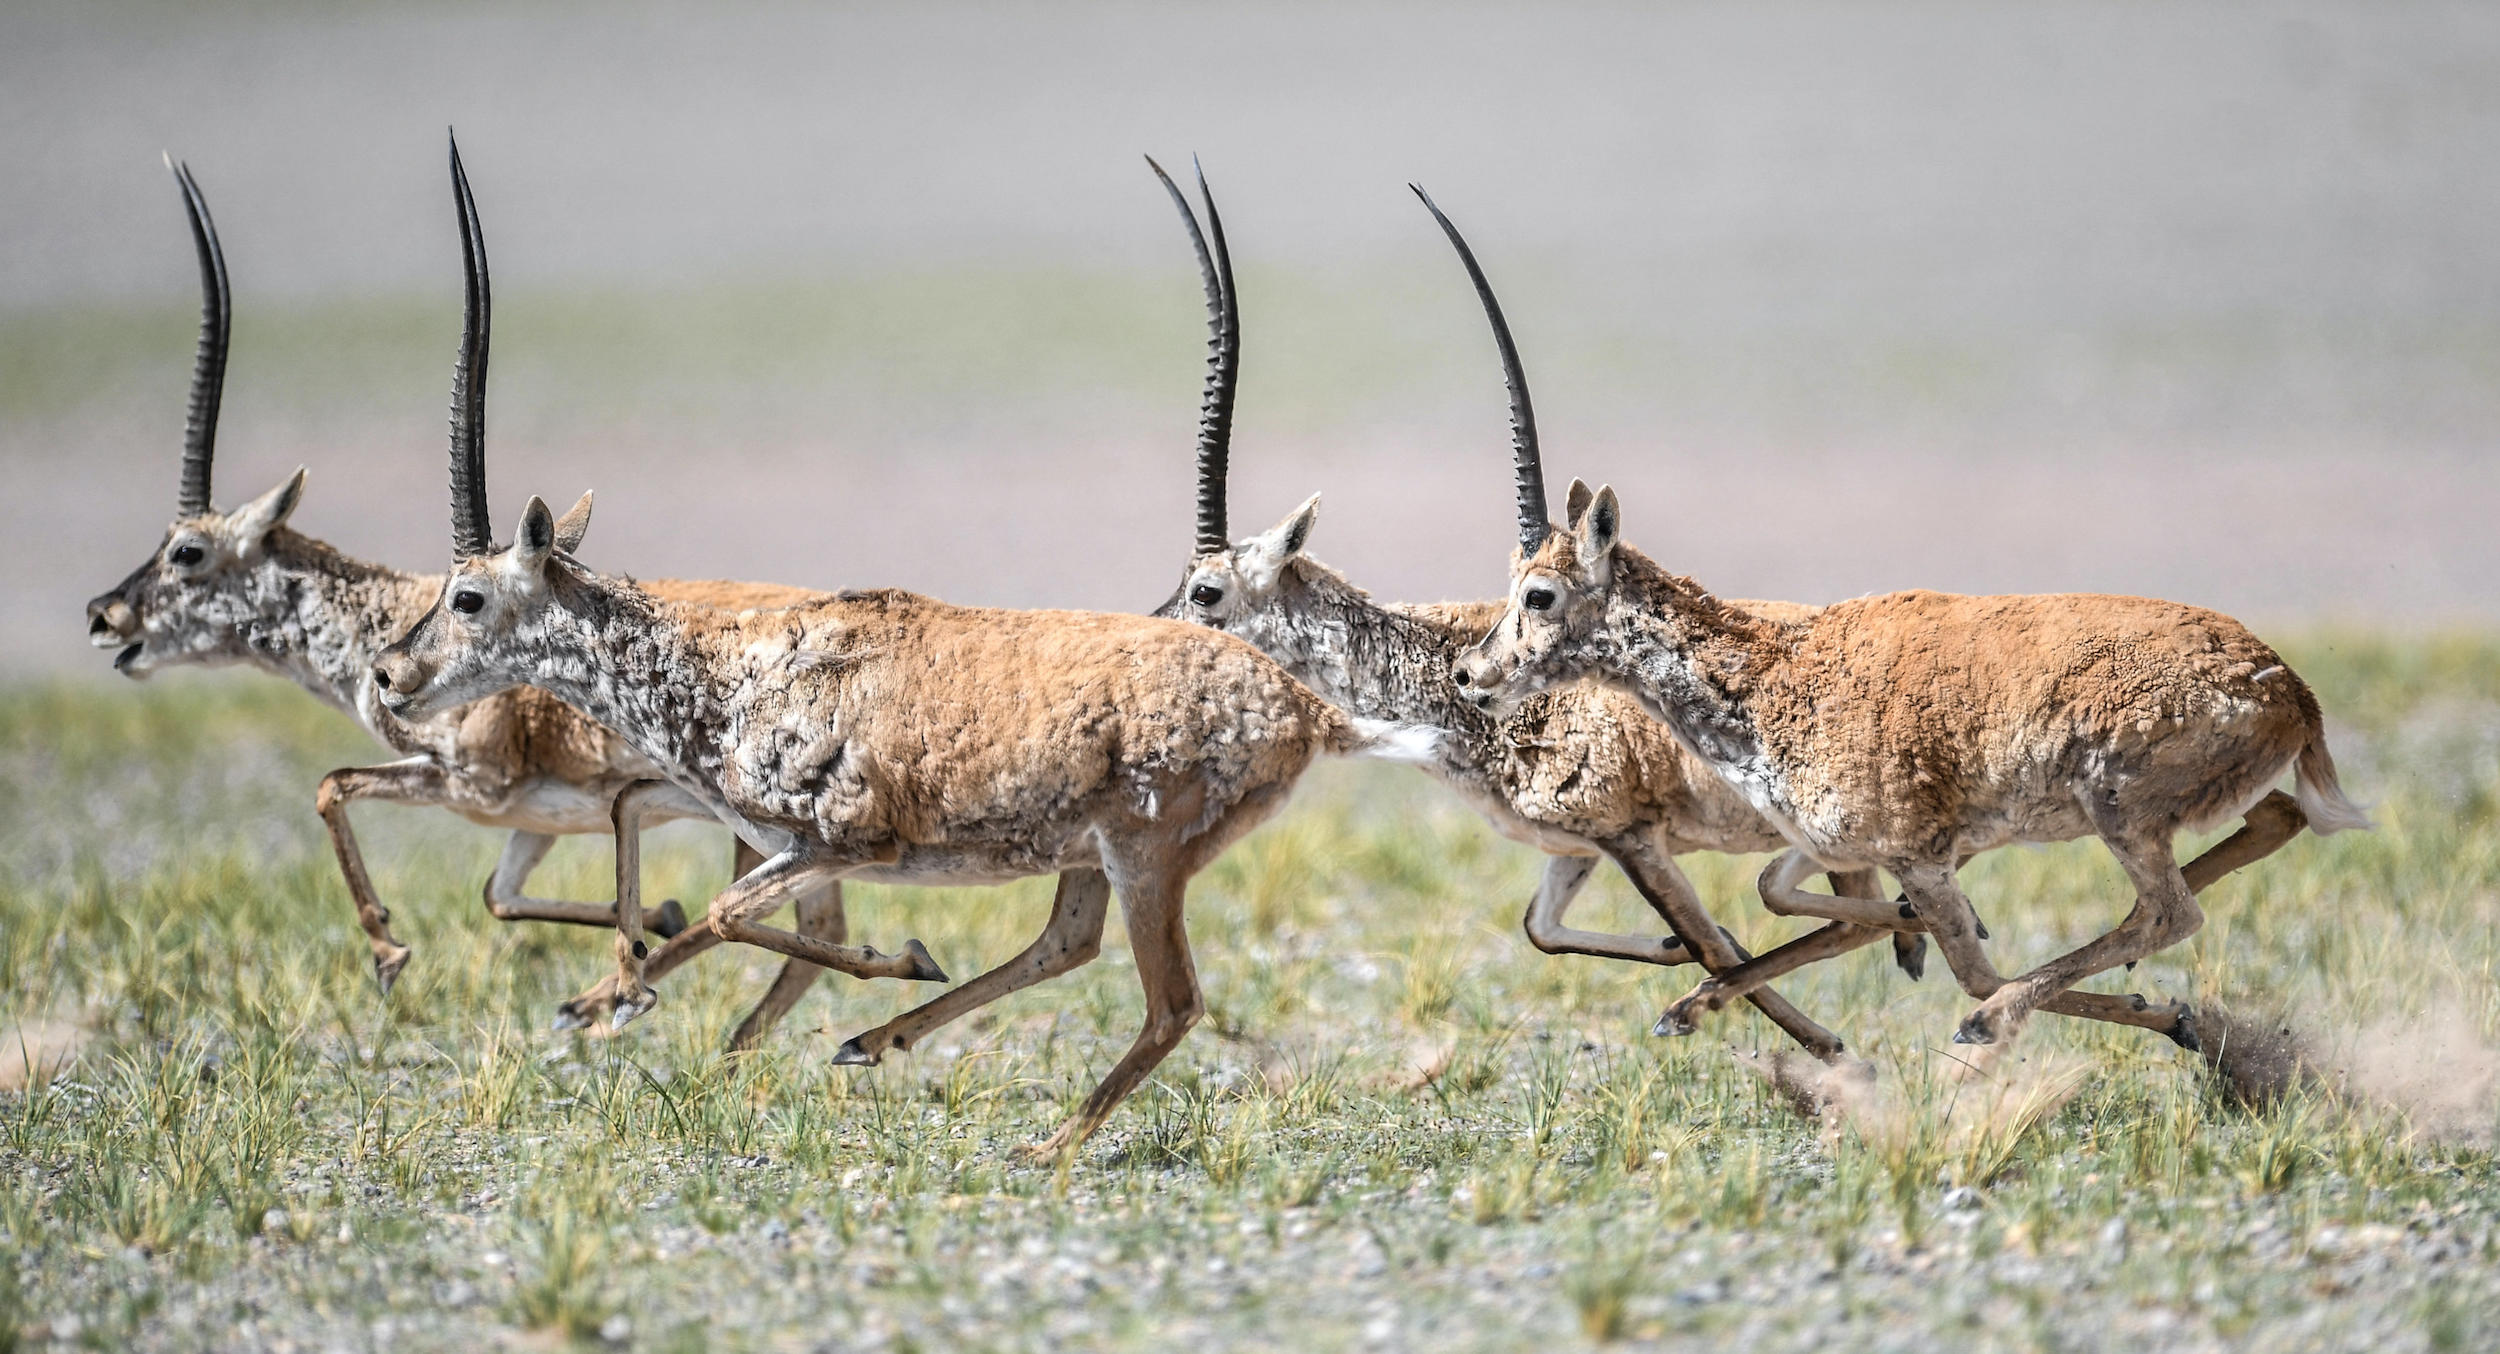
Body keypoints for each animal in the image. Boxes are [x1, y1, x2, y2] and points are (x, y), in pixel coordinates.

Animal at [83, 156, 885, 1049]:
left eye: (187, 551)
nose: (104, 616)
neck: (390, 616)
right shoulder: (531, 821)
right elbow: (496, 894)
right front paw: (654, 921)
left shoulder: (468, 785)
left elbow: (335, 785)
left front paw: (392, 954)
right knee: (812, 931)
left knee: (796, 925)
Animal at [365, 143, 1390, 1159]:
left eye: (468, 595)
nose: (388, 675)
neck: (727, 671)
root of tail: (1303, 709)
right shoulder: (769, 836)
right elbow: (655, 840)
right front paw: (625, 993)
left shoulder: (847, 841)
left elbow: (729, 911)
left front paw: (896, 956)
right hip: (1093, 857)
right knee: (1069, 944)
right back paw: (875, 1044)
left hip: (1144, 856)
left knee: (1171, 1001)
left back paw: (1042, 1141)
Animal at [1145, 164, 1920, 1069]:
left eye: (1206, 591)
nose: (1152, 639)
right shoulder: (1573, 848)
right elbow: (1546, 929)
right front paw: (1680, 962)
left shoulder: (1630, 835)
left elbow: (1710, 944)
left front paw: (1810, 1039)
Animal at [1430, 198, 2360, 1059]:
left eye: (1539, 595)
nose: (1473, 674)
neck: (1773, 673)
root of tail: (2289, 689)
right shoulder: (1852, 847)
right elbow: (1781, 892)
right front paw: (1699, 1000)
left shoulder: (1917, 852)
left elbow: (1966, 963)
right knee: (2263, 829)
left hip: (2120, 811)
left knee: (2166, 914)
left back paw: (2041, 1015)